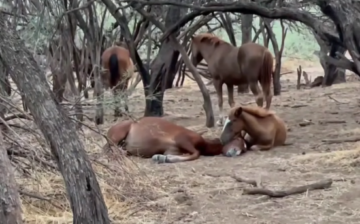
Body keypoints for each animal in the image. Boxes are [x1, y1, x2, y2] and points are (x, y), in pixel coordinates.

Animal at [102, 117, 246, 163]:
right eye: (238, 140)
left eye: (245, 148)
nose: (235, 152)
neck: (204, 143)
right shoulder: (182, 139)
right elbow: (196, 154)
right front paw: (164, 159)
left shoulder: (172, 149)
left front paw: (162, 157)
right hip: (117, 136)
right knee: (110, 149)